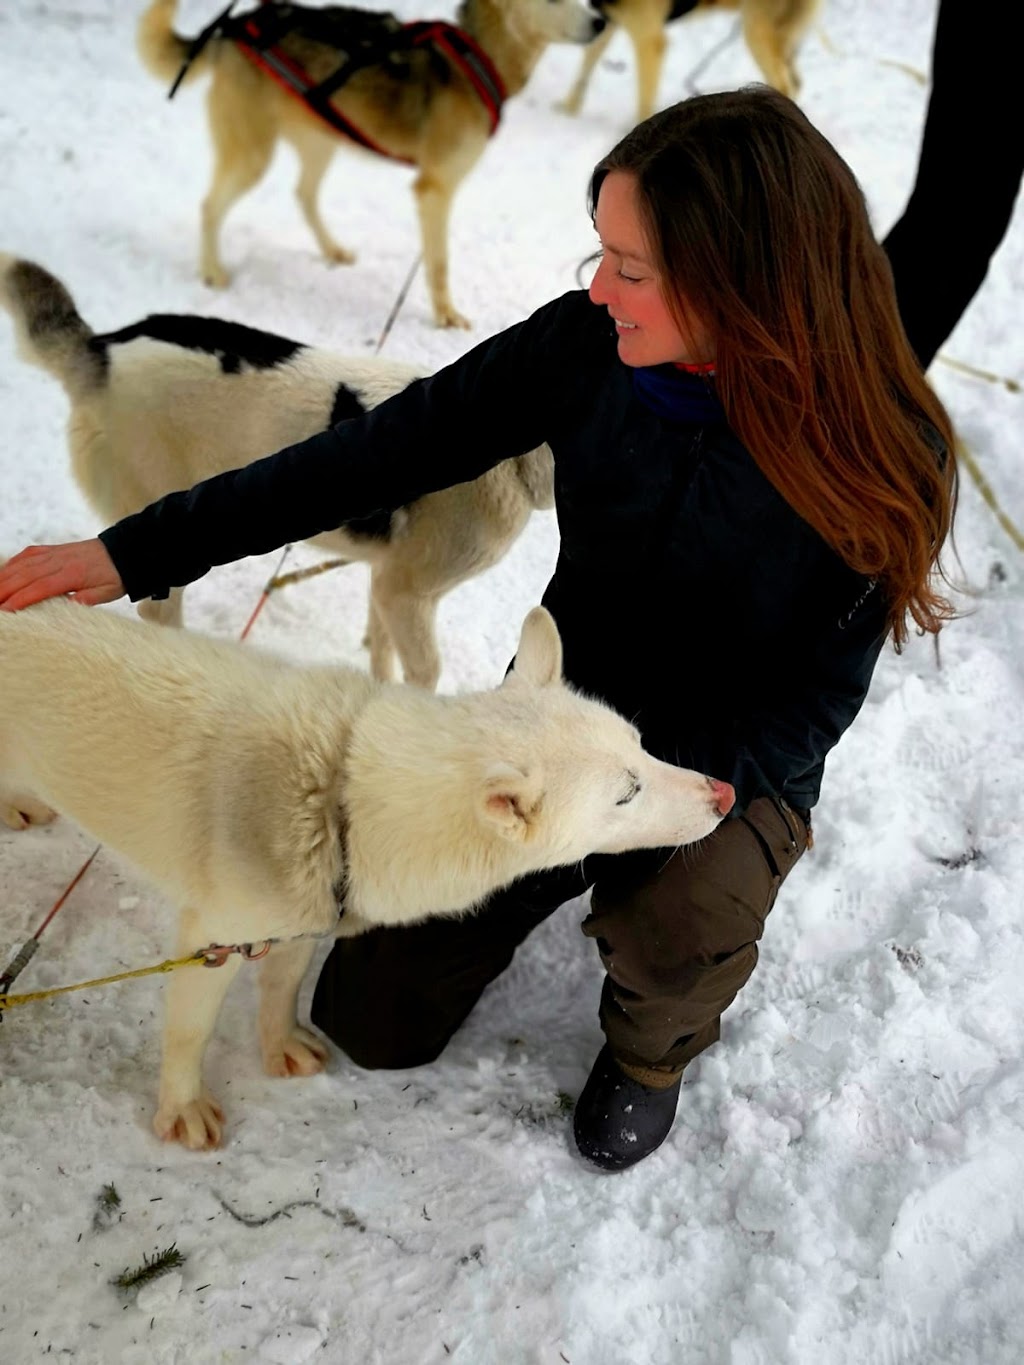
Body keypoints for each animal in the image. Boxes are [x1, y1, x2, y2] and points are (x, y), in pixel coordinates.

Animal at [0, 253, 557, 693]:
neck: (515, 455)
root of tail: (102, 351)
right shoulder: (407, 596)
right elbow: (423, 673)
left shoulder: (384, 583)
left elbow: (380, 650)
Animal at [0, 603, 737, 1146]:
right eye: (629, 792)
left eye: (641, 746)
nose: (726, 793)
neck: (338, 795)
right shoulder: (212, 940)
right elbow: (190, 1032)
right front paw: (181, 1107)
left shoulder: (296, 924)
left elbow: (281, 990)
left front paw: (279, 1044)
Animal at [142, 0, 608, 327]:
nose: (602, 22)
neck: (478, 54)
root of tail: (232, 29)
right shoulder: (435, 189)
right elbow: (439, 264)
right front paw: (445, 315)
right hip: (253, 154)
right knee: (210, 206)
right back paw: (212, 271)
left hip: (321, 139)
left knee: (303, 194)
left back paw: (331, 249)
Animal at [565, 0, 824, 123]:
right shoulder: (608, 20)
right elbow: (586, 66)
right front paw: (568, 108)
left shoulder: (649, 39)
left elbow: (644, 100)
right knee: (795, 83)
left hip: (756, 32)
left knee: (784, 86)